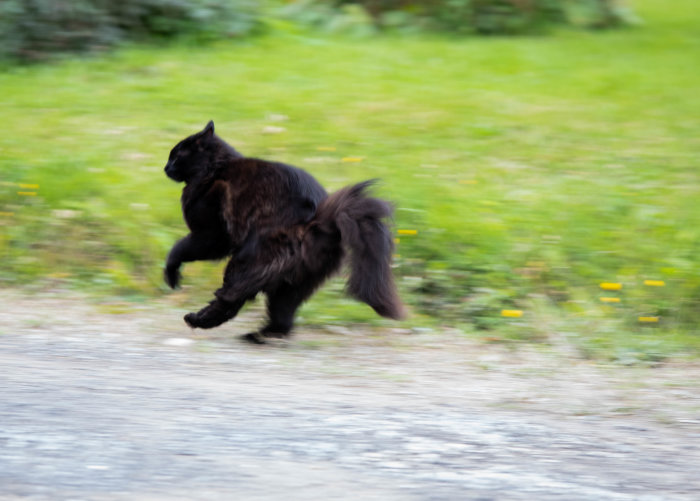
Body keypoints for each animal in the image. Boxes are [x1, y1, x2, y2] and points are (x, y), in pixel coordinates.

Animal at [164, 120, 404, 344]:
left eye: (175, 157)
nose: (165, 167)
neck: (216, 168)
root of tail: (319, 223)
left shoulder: (213, 235)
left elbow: (179, 249)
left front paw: (171, 274)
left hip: (245, 263)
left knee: (230, 301)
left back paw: (197, 320)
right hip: (293, 284)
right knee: (283, 320)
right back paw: (257, 337)